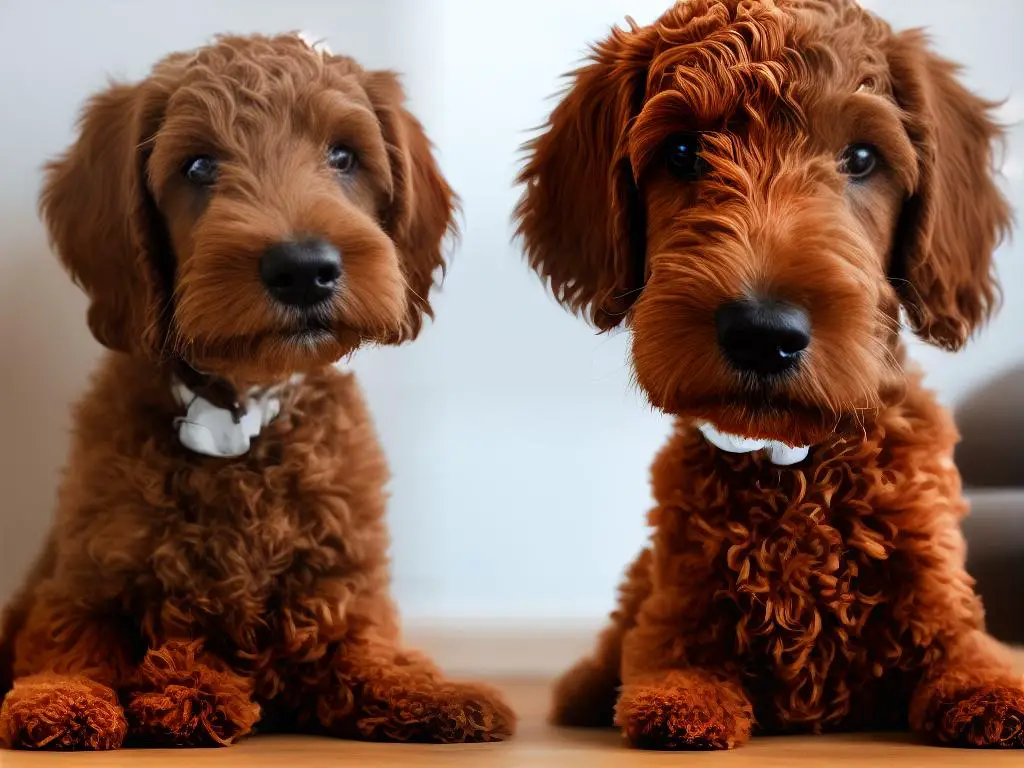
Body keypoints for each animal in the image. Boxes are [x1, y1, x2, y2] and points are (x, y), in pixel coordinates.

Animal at [0, 34, 516, 753]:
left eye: (343, 156)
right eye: (197, 166)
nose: (303, 269)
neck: (239, 409)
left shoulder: (341, 585)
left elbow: (366, 648)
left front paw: (432, 692)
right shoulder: (80, 576)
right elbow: (75, 641)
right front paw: (63, 702)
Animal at [520, 0, 1024, 753]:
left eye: (862, 158)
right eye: (682, 153)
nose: (763, 333)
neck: (795, 469)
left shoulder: (941, 596)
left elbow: (971, 656)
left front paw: (991, 695)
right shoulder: (678, 612)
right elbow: (670, 664)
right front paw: (682, 705)